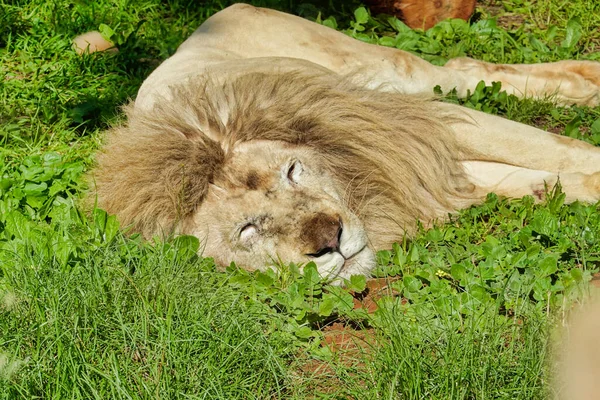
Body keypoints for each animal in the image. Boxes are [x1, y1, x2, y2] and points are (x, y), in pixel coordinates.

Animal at [89, 4, 600, 282]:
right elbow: (530, 180)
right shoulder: (427, 172)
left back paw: (588, 80)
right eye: (247, 231)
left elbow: (552, 147)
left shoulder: (410, 125)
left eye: (293, 171)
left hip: (390, 72)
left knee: (460, 69)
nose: (329, 240)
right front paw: (571, 188)